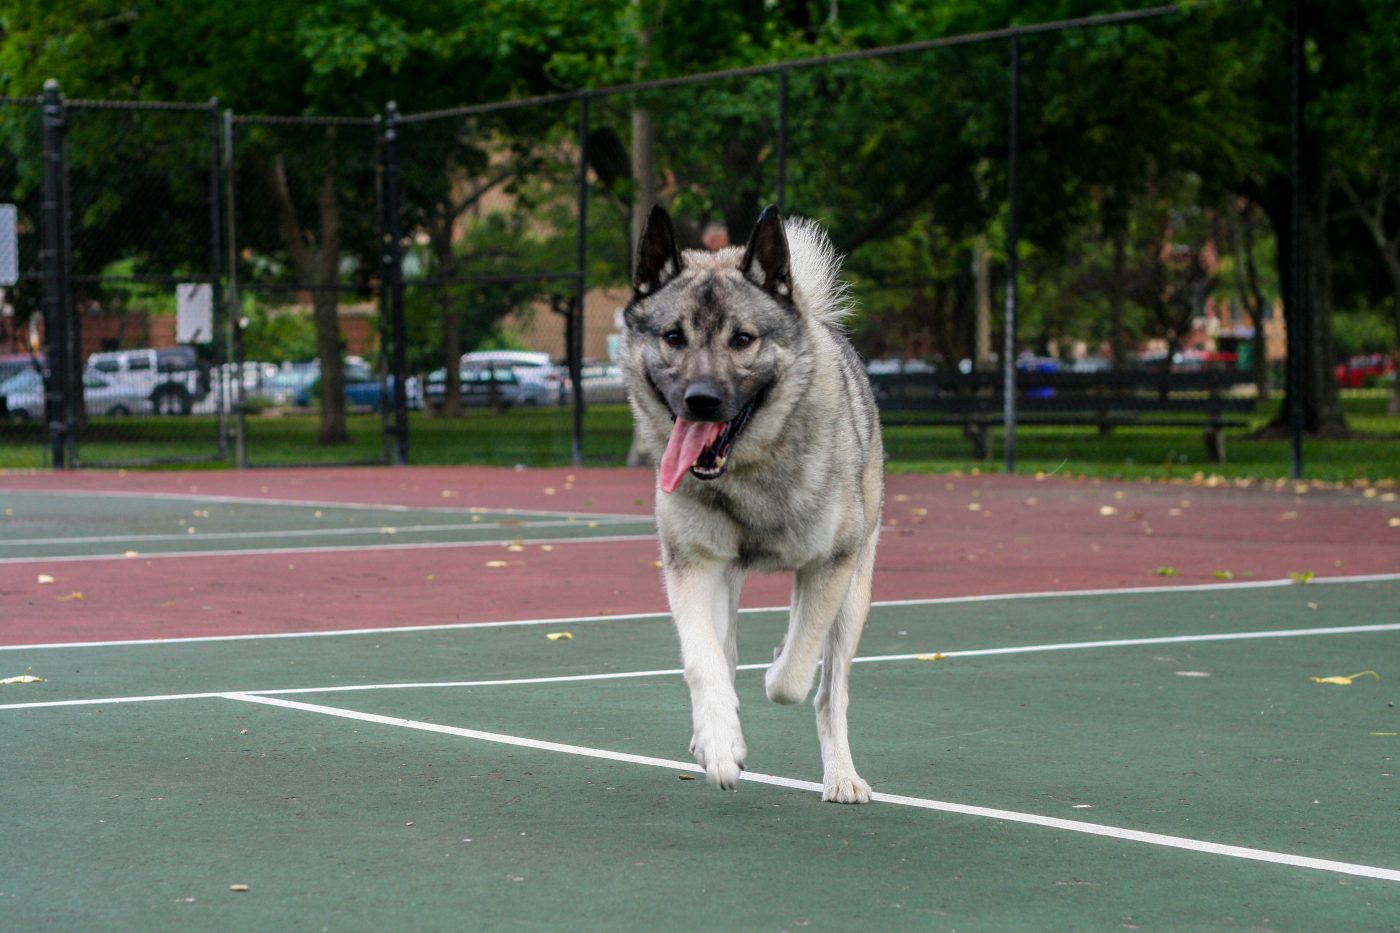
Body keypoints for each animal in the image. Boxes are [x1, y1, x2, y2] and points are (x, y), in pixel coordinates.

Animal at [624, 203, 884, 801]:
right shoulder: (692, 565)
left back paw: (842, 775)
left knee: (830, 690)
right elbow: (705, 660)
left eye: (743, 339)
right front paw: (719, 742)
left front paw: (776, 669)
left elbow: (793, 675)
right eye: (673, 336)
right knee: (724, 651)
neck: (747, 471)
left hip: (855, 593)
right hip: (727, 577)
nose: (701, 400)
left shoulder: (831, 566)